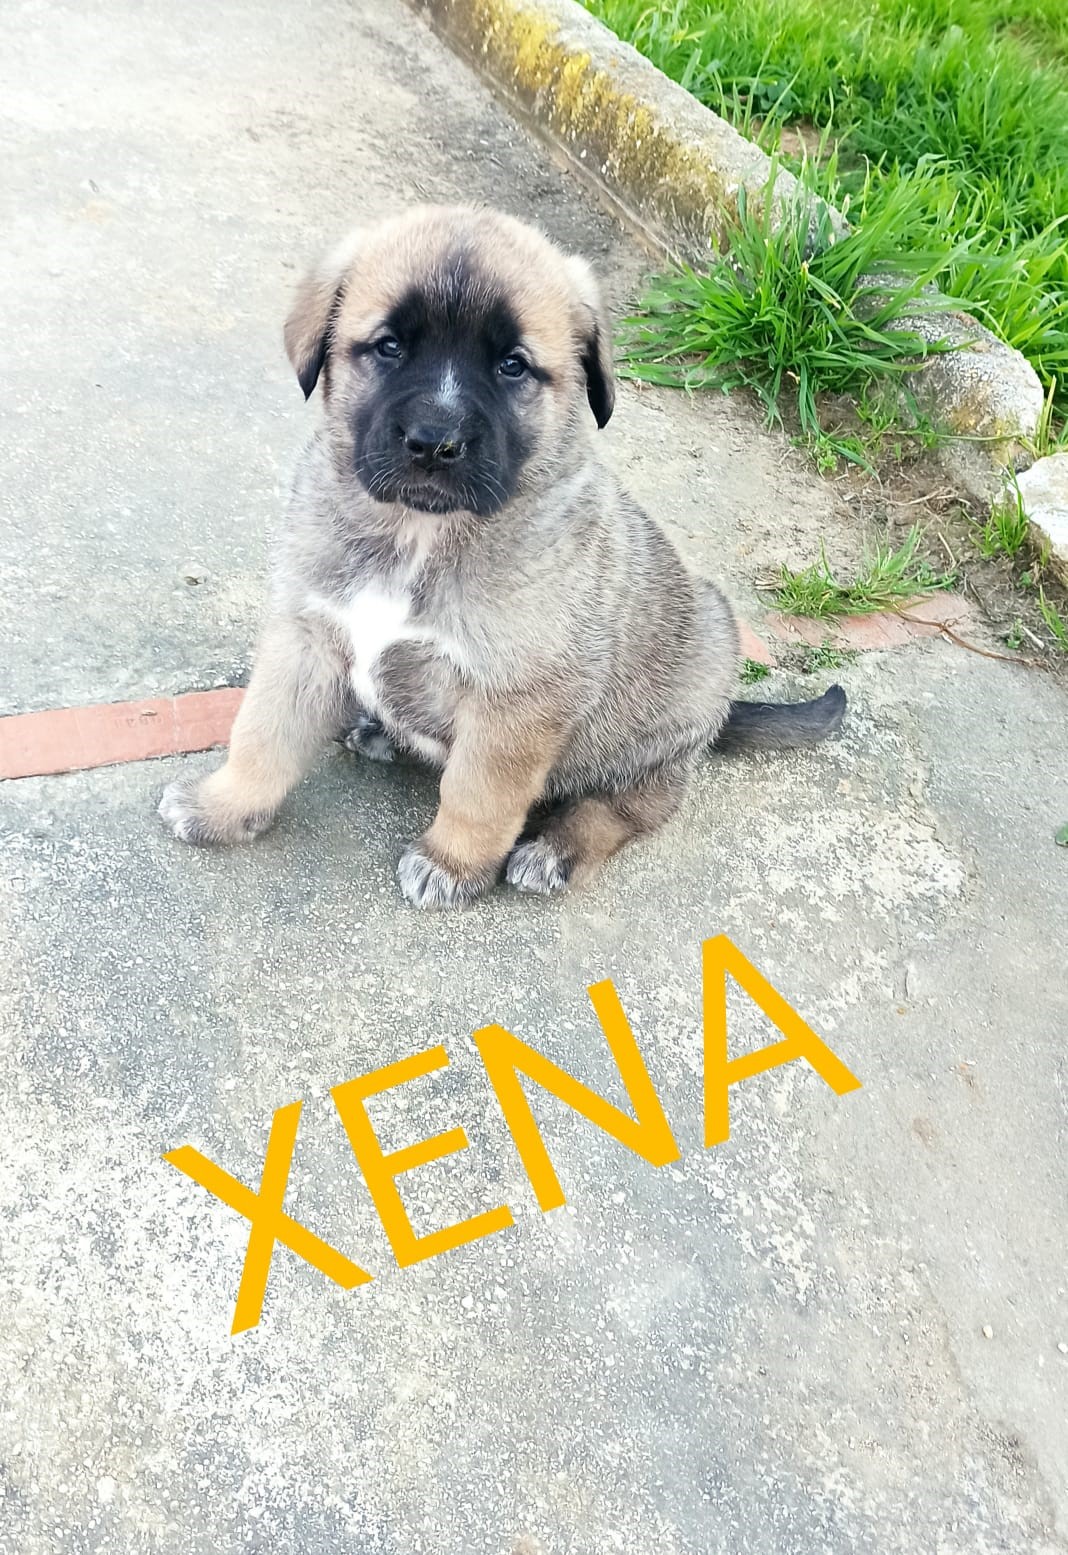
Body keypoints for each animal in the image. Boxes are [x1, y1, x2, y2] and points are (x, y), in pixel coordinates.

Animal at [159, 205, 845, 908]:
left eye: (513, 366)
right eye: (389, 347)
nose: (434, 443)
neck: (419, 535)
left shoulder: (517, 699)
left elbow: (478, 793)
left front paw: (453, 863)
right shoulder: (308, 636)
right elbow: (262, 735)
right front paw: (222, 806)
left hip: (672, 709)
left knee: (631, 806)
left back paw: (555, 850)